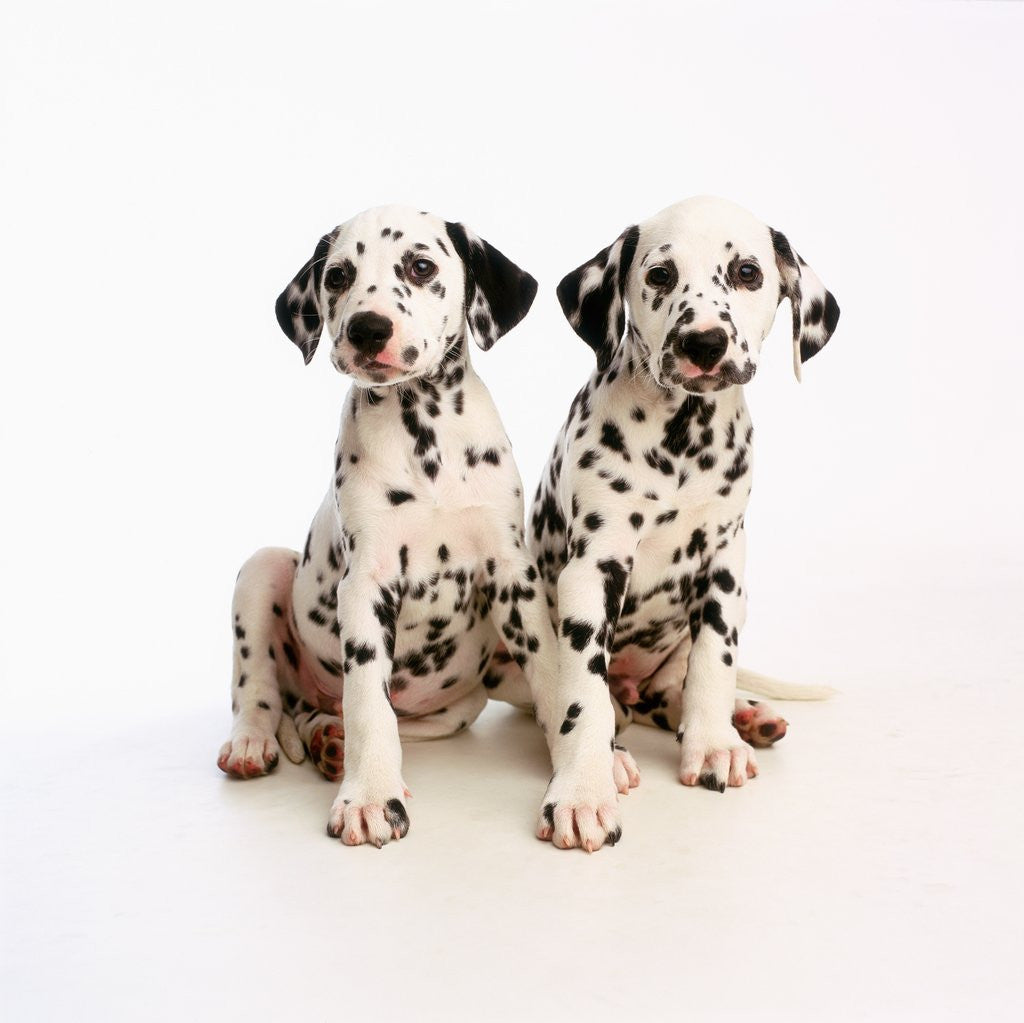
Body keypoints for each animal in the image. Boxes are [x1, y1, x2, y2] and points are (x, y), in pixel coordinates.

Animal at [216, 207, 577, 847]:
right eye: (337, 276)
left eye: (421, 266)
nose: (367, 328)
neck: (423, 432)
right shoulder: (366, 583)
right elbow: (367, 701)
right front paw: (369, 797)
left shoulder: (515, 578)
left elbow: (552, 673)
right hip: (263, 570)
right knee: (261, 690)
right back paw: (258, 742)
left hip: (455, 707)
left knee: (362, 719)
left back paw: (328, 741)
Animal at [487, 197, 839, 847]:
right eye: (659, 275)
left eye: (748, 273)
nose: (704, 342)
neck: (682, 441)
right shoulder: (592, 570)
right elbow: (582, 695)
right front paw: (582, 791)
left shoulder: (726, 566)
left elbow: (713, 664)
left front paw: (714, 742)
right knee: (598, 702)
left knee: (672, 688)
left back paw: (745, 719)